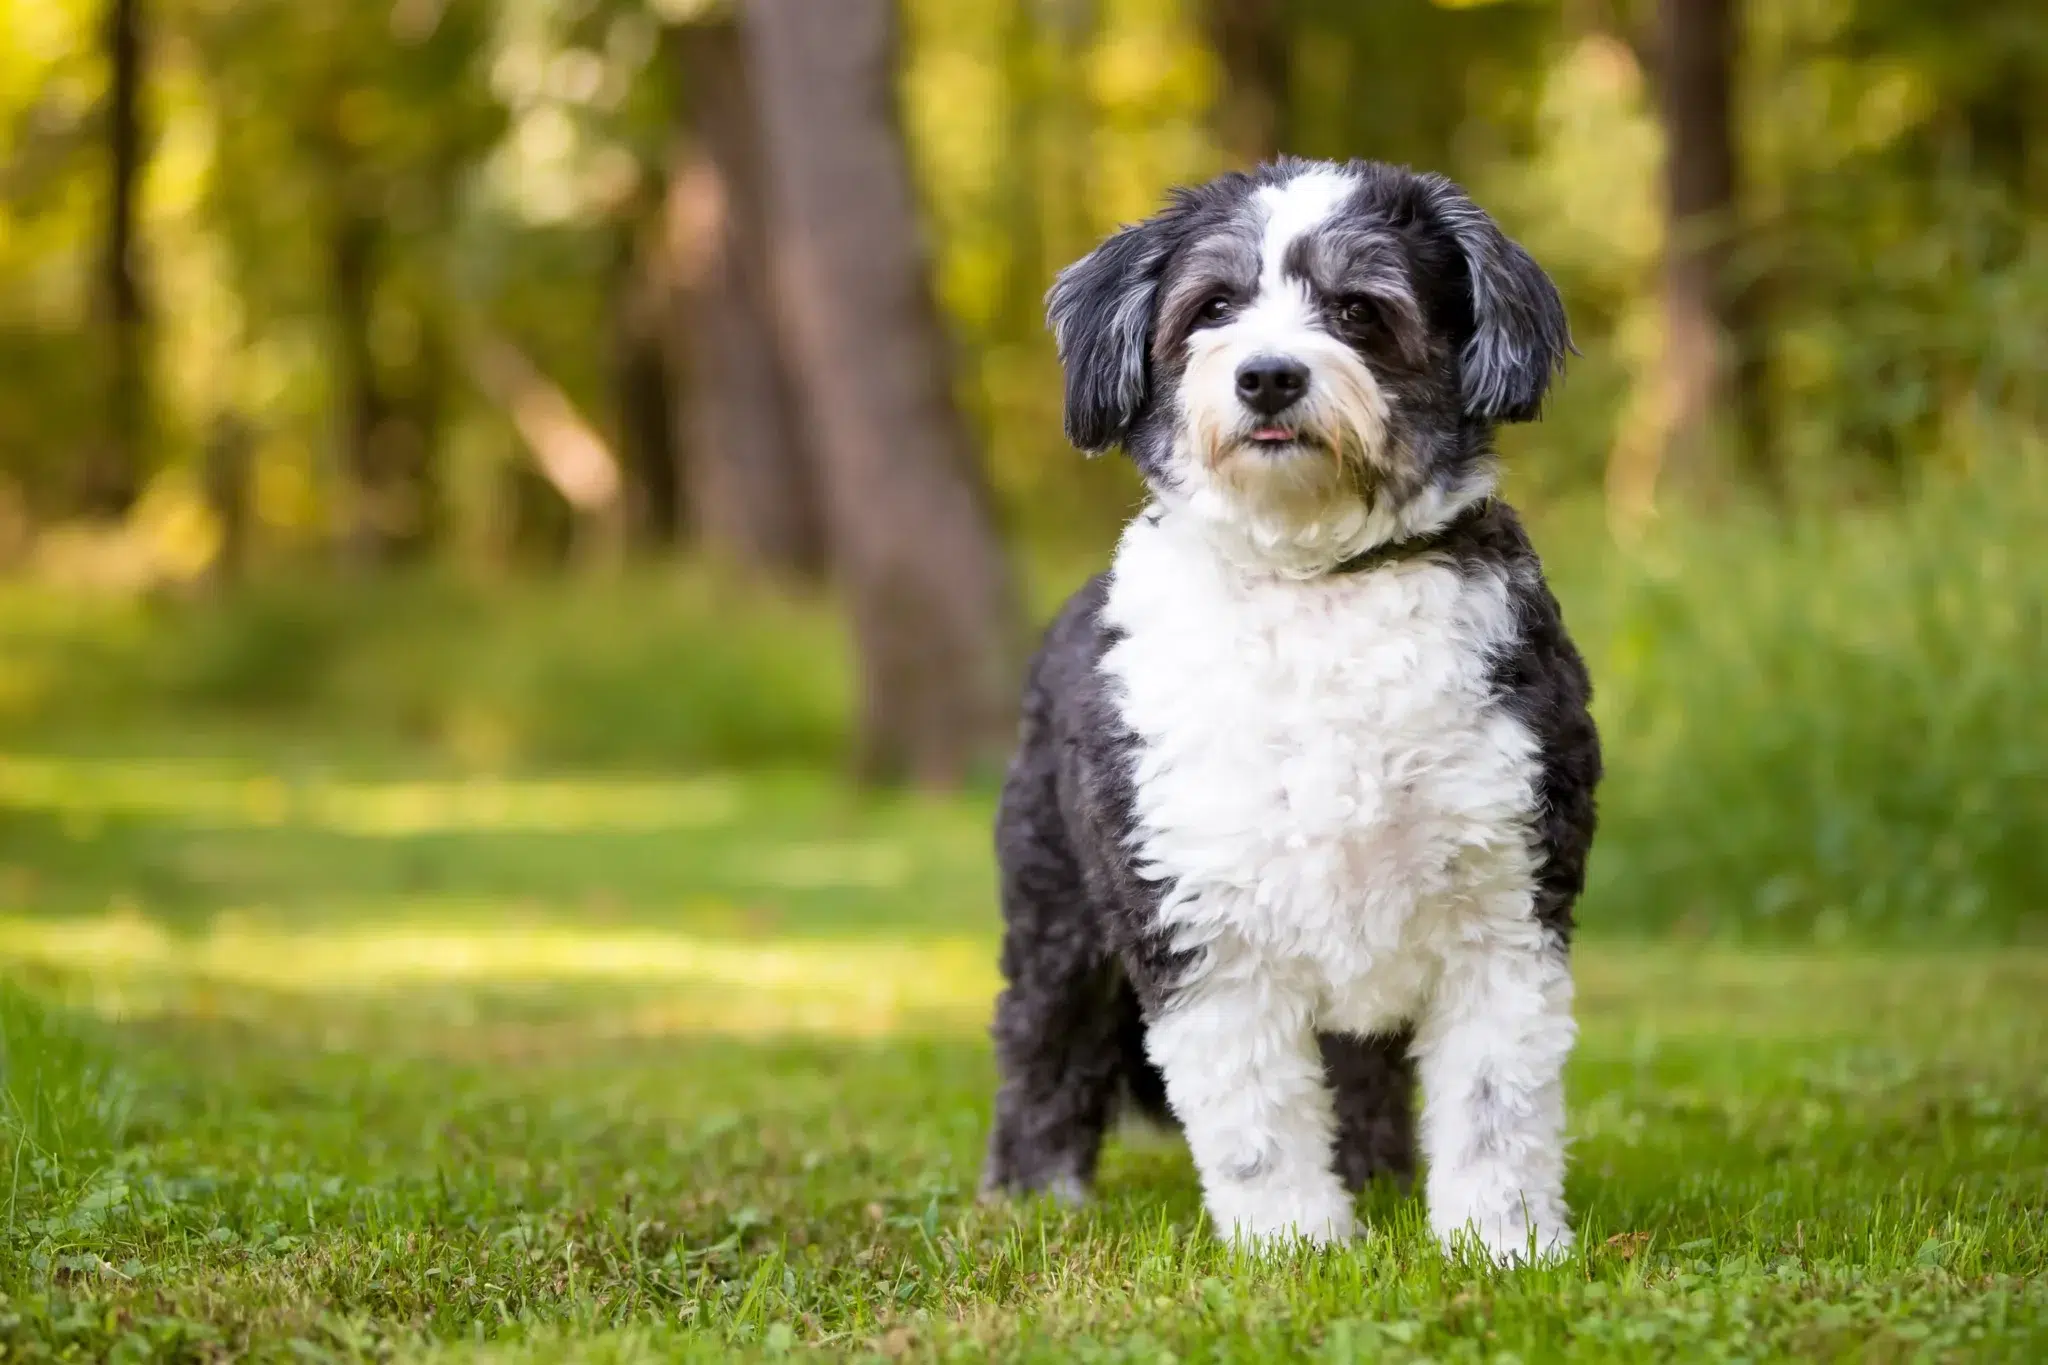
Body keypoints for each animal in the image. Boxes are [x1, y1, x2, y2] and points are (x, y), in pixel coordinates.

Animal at [974, 157, 1597, 1260]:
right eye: (1213, 307)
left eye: (1356, 310)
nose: (1266, 375)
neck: (1315, 582)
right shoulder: (1198, 924)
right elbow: (1255, 1118)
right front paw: (1294, 1248)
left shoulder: (1507, 906)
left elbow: (1496, 1105)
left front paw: (1503, 1246)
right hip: (1056, 915)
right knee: (1042, 1042)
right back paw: (1036, 1194)